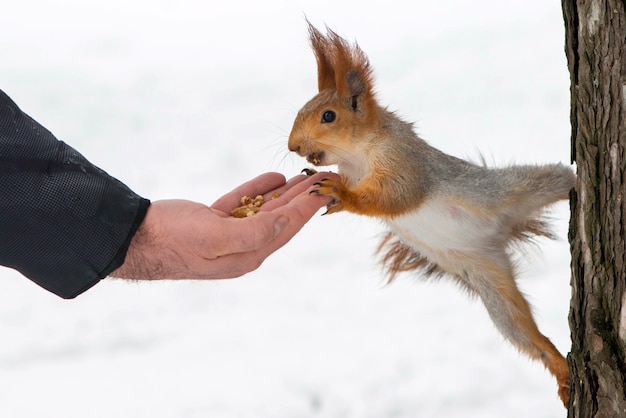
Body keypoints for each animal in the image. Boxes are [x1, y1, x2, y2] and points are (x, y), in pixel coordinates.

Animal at [286, 22, 572, 404]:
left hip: (509, 189)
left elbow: (396, 196)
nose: (293, 147)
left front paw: (340, 194)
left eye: (328, 116)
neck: (356, 158)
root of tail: (501, 232)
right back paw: (561, 370)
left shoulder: (405, 162)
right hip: (488, 282)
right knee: (524, 335)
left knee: (561, 178)